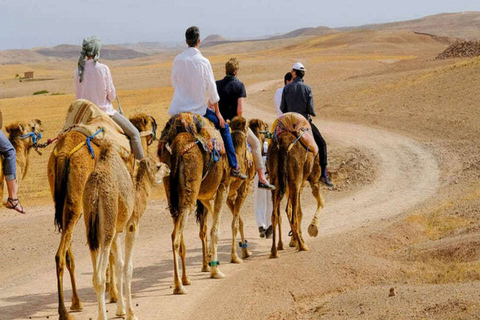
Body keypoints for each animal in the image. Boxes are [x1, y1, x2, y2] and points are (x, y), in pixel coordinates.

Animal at [47, 112, 157, 320]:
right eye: (151, 127)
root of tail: (63, 154)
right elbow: (113, 257)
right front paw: (114, 296)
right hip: (77, 205)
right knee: (60, 254)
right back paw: (64, 311)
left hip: (65, 205)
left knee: (65, 253)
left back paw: (76, 302)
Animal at [84, 144, 169, 320]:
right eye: (158, 166)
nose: (168, 167)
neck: (137, 196)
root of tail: (95, 193)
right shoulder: (132, 225)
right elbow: (128, 267)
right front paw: (131, 313)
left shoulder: (117, 230)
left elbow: (119, 264)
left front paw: (120, 309)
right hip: (107, 224)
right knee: (99, 277)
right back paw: (102, 316)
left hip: (91, 230)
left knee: (95, 274)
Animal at [159, 113, 231, 296]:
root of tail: (177, 146)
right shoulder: (223, 186)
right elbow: (215, 230)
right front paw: (215, 271)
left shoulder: (203, 195)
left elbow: (207, 226)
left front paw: (209, 262)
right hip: (190, 191)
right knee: (175, 236)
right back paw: (179, 286)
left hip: (172, 192)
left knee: (179, 235)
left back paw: (185, 279)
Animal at [268, 115, 324, 258]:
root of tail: (283, 145)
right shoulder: (312, 180)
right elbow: (320, 202)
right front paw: (312, 228)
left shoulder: (297, 185)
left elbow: (296, 211)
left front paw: (294, 240)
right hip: (295, 180)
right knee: (292, 215)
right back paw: (303, 246)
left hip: (276, 181)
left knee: (275, 214)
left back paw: (275, 250)